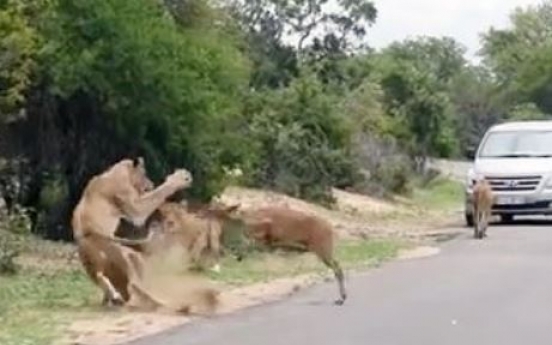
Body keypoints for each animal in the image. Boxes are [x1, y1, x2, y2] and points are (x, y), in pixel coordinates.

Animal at [71, 157, 193, 308]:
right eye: (144, 174)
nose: (151, 184)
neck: (120, 171)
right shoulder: (133, 204)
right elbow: (156, 194)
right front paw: (179, 178)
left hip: (100, 265)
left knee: (104, 278)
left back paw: (113, 298)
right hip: (120, 258)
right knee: (130, 284)